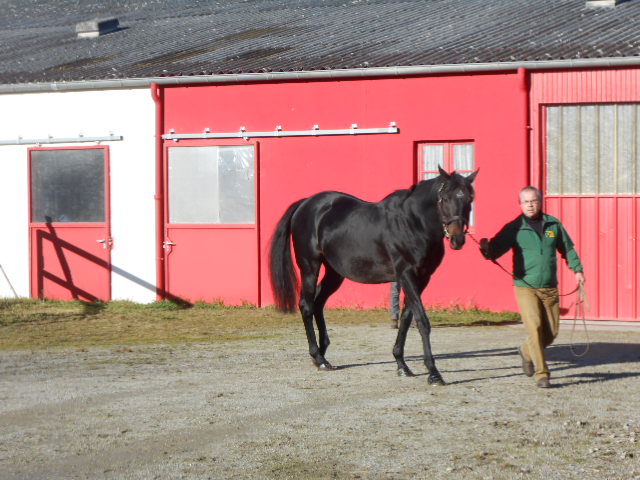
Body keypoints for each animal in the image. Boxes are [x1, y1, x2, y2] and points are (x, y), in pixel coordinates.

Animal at [268, 167, 478, 384]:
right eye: (444, 198)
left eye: (469, 198)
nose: (457, 239)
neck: (412, 223)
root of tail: (305, 203)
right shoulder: (406, 275)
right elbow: (422, 321)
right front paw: (433, 373)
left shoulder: (422, 278)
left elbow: (406, 318)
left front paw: (401, 365)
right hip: (310, 267)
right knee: (307, 305)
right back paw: (319, 358)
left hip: (335, 273)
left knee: (318, 303)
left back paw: (322, 352)